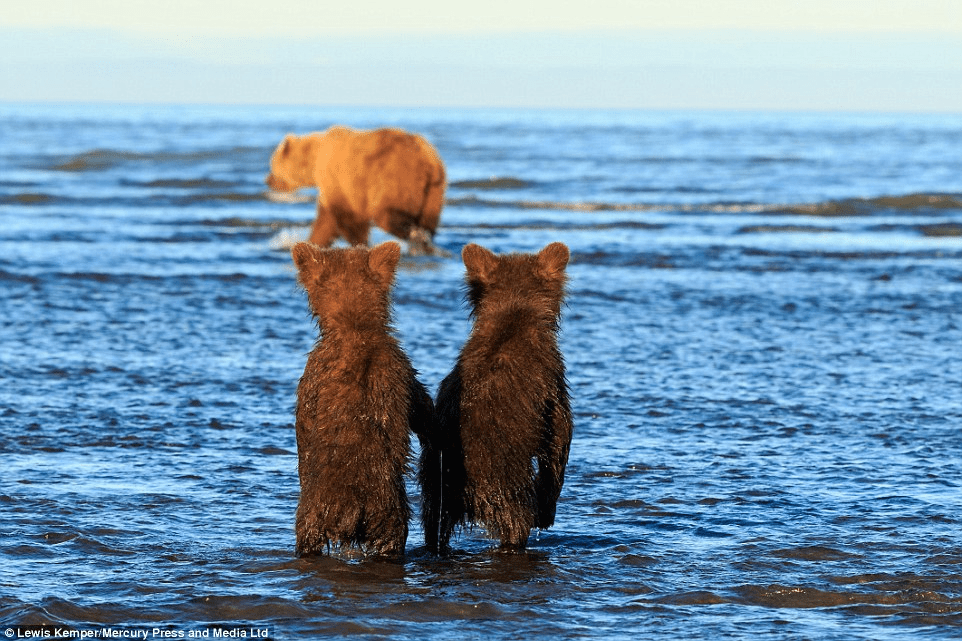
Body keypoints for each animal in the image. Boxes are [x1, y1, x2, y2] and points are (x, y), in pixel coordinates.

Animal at [266, 125, 446, 255]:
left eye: (272, 165)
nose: (267, 180)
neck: (314, 160)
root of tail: (430, 163)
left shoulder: (341, 181)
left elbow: (348, 218)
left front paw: (361, 244)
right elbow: (325, 222)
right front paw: (313, 241)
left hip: (395, 178)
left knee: (386, 213)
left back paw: (416, 237)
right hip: (434, 192)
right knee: (429, 220)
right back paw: (427, 243)